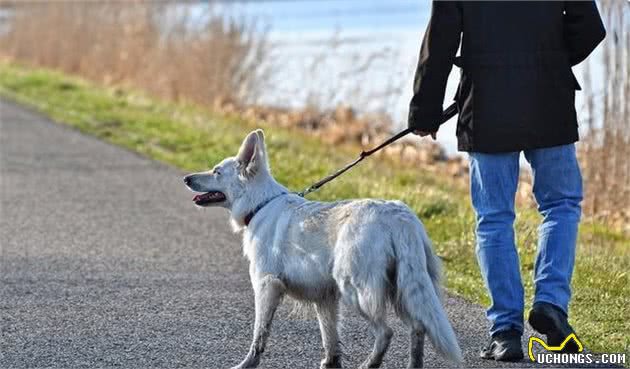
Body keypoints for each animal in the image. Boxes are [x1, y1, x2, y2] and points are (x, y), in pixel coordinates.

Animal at [183, 129, 464, 368]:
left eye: (216, 171)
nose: (186, 178)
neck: (260, 204)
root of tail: (398, 216)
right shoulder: (325, 298)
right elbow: (330, 339)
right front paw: (331, 363)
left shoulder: (267, 286)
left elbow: (259, 334)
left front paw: (247, 364)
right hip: (403, 289)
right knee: (418, 328)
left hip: (356, 289)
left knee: (386, 332)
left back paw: (369, 363)